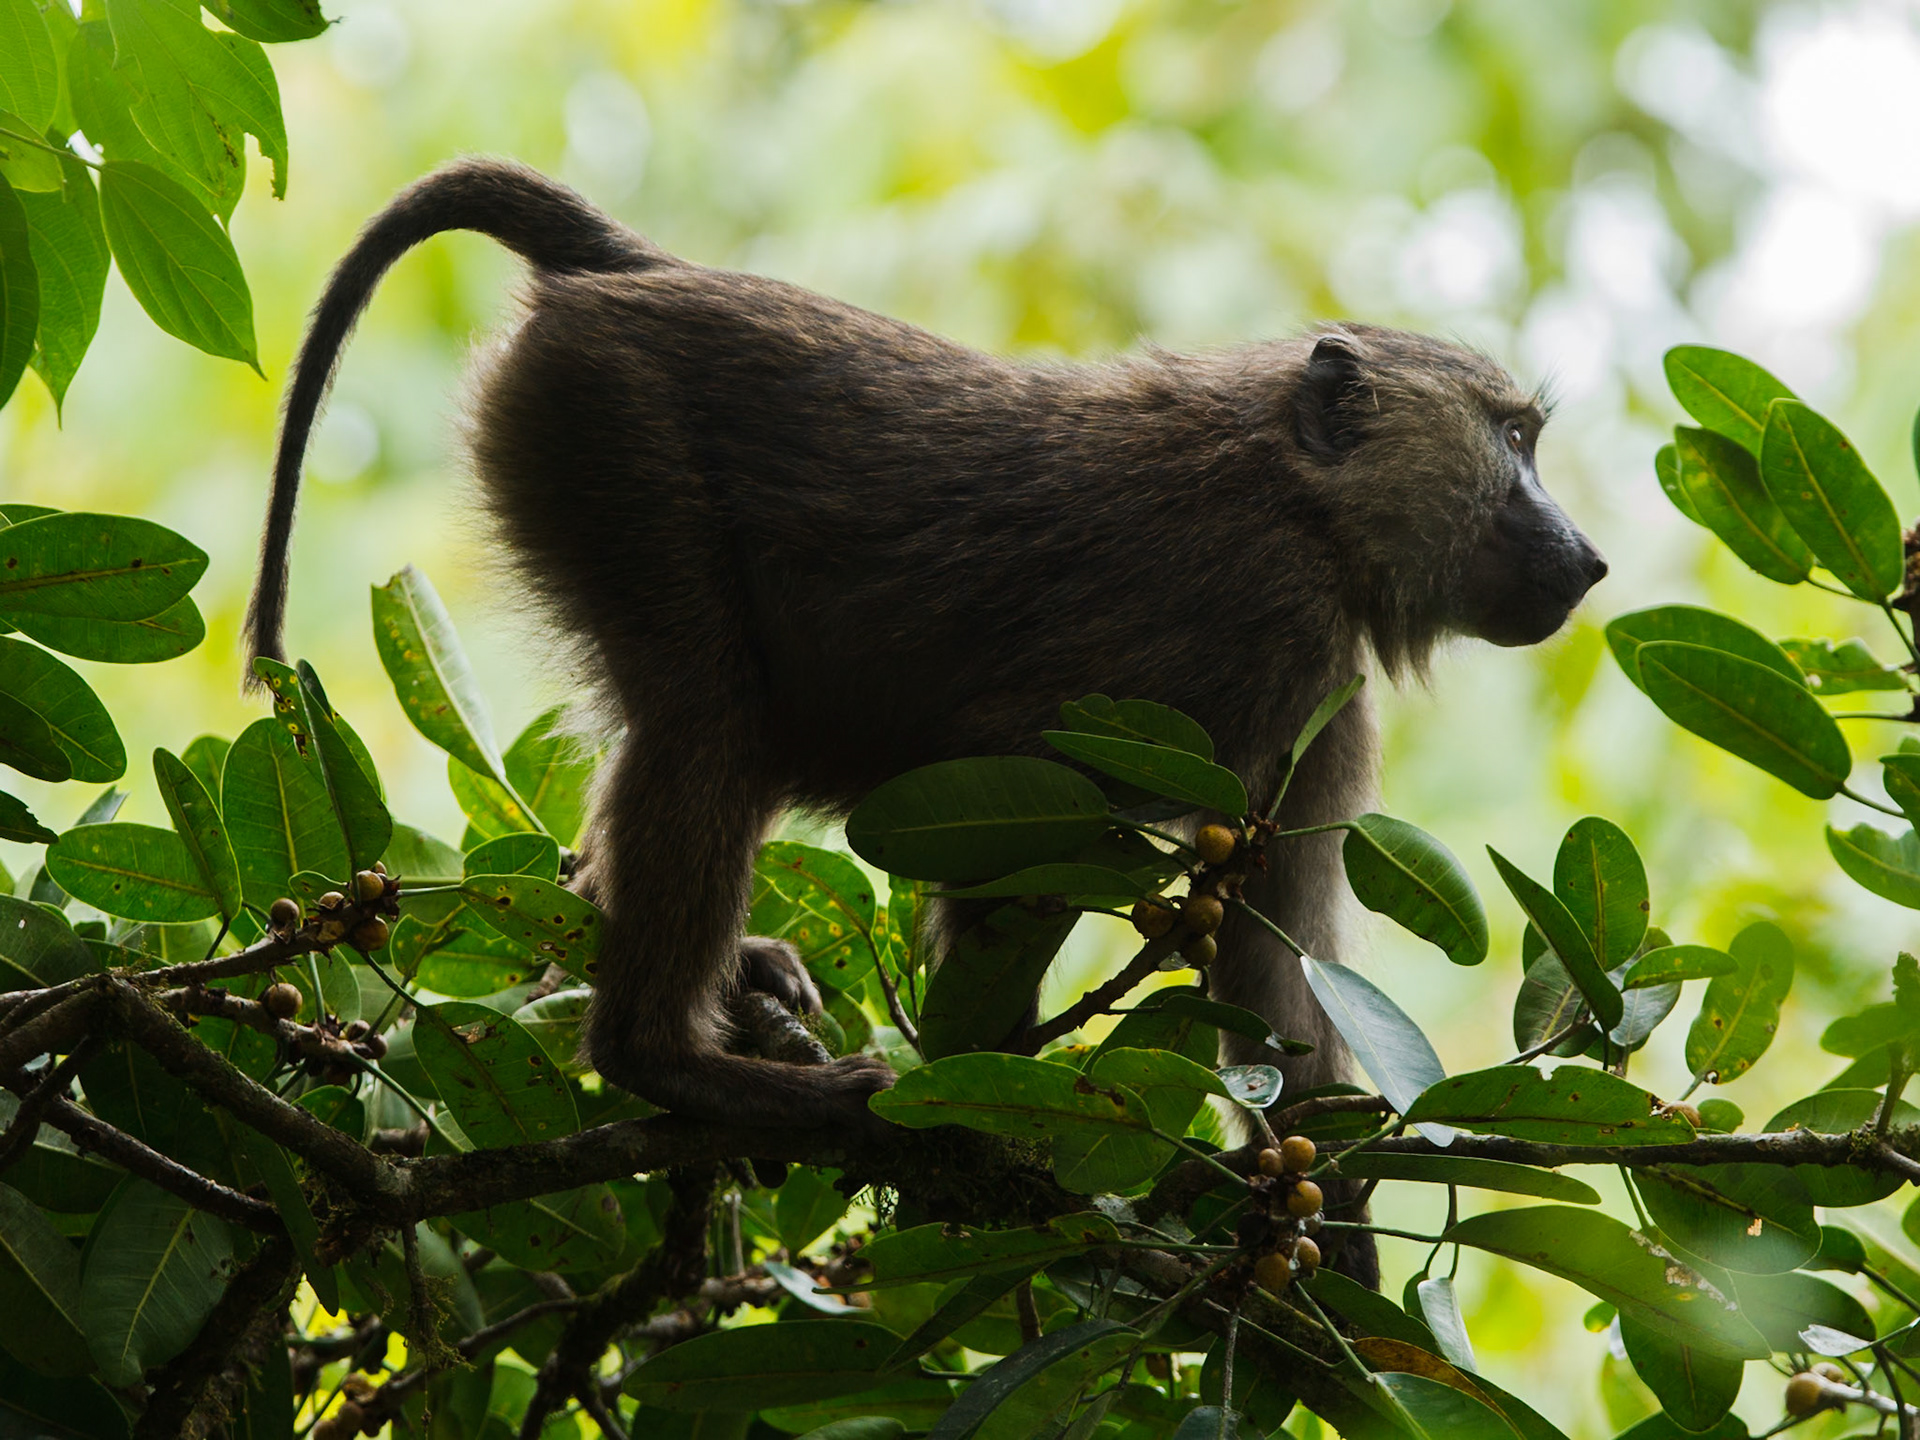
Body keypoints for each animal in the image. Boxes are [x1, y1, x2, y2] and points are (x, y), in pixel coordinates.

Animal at [248, 159, 1606, 1153]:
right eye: (1515, 440)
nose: (1586, 558)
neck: (1304, 498)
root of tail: (647, 276)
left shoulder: (1322, 689)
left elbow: (1282, 1006)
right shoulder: (1261, 627)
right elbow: (1023, 828)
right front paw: (983, 1113)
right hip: (606, 425)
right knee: (707, 719)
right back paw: (671, 1064)